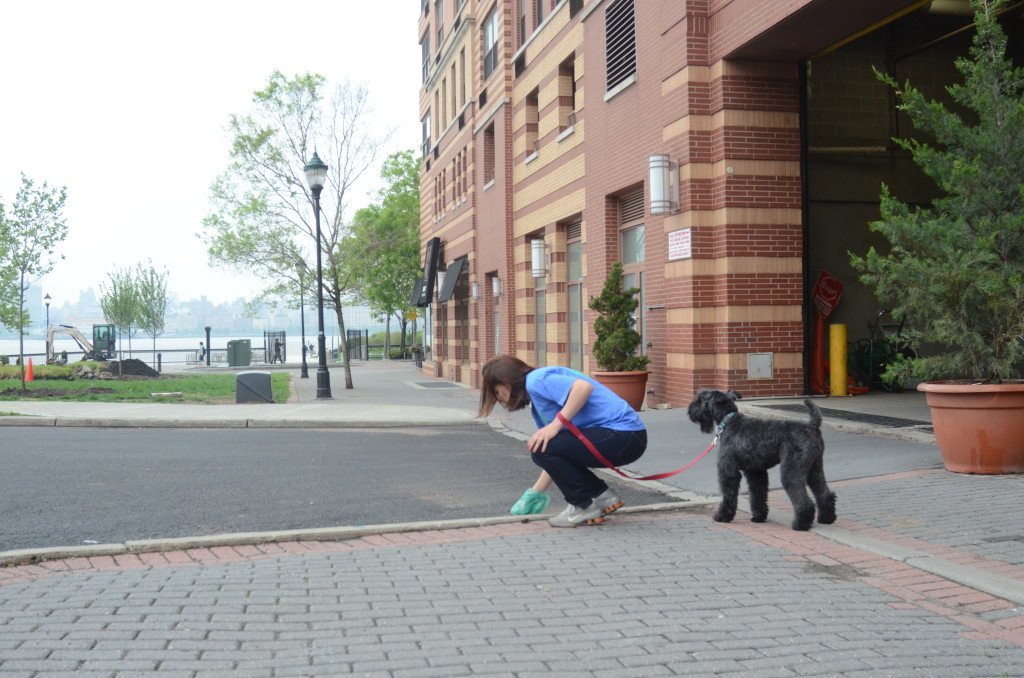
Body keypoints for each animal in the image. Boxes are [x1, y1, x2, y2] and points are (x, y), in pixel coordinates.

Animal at [688, 393, 839, 532]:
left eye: (700, 399)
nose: (689, 410)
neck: (729, 421)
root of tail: (812, 425)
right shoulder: (756, 472)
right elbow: (758, 494)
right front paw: (758, 517)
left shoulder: (728, 471)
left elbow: (729, 494)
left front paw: (722, 516)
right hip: (815, 469)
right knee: (824, 493)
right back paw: (826, 518)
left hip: (792, 471)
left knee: (804, 501)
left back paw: (800, 525)